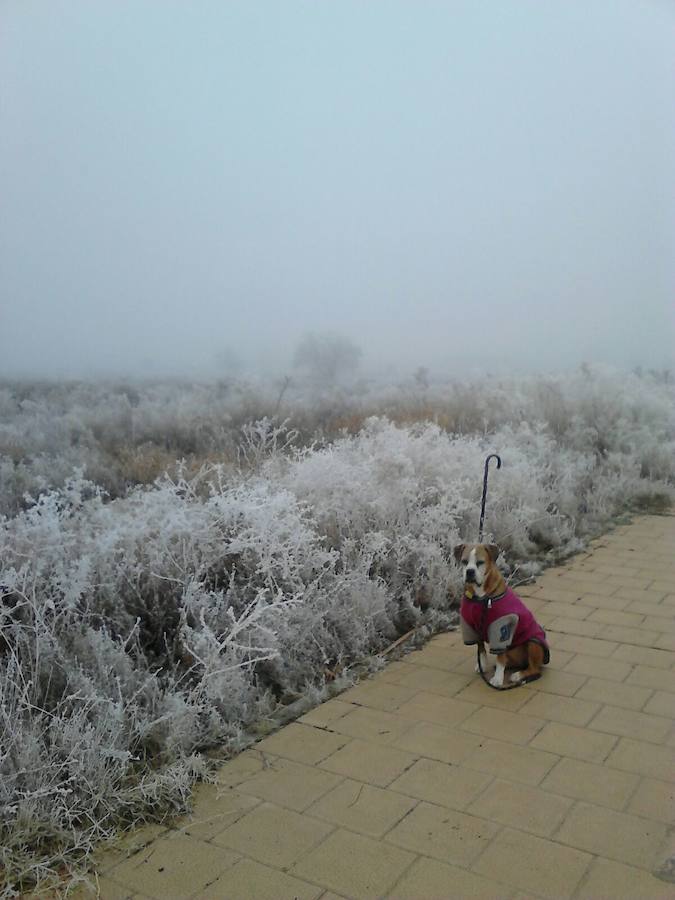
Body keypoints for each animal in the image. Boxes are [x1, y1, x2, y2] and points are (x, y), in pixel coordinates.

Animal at [454, 540, 548, 688]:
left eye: (480, 562)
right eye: (464, 561)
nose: (470, 571)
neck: (481, 597)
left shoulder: (501, 628)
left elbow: (500, 657)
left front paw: (497, 679)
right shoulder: (472, 626)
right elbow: (480, 649)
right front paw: (482, 665)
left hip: (534, 642)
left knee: (534, 669)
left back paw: (518, 675)